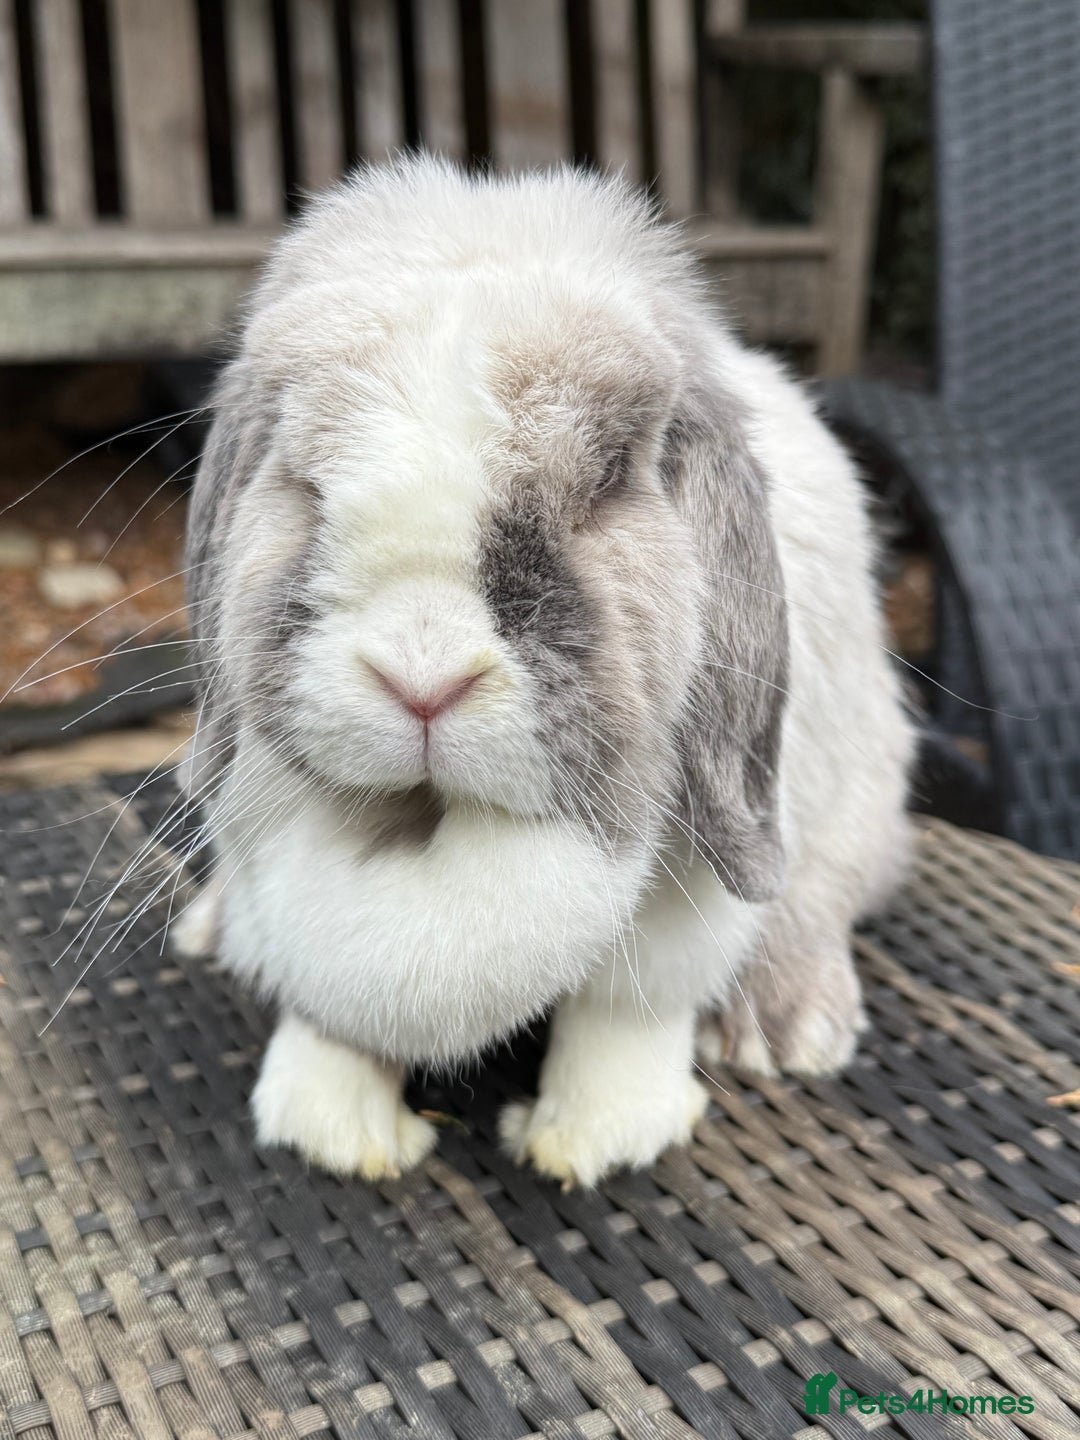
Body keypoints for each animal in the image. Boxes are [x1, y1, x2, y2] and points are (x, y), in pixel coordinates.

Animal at [173, 156, 914, 1187]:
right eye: (303, 481)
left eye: (605, 483)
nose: (423, 679)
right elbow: (328, 1004)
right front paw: (332, 1125)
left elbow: (631, 1010)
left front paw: (595, 1135)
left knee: (821, 896)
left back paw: (786, 1025)